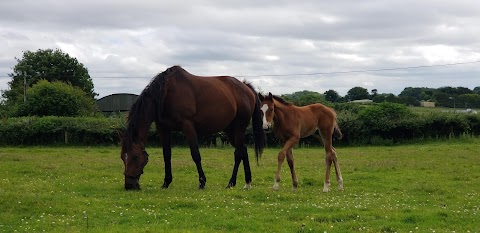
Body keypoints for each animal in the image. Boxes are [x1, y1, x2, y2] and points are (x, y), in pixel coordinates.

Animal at [120, 65, 266, 189]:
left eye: (135, 157)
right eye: (122, 157)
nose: (129, 185)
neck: (166, 93)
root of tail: (246, 88)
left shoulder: (188, 126)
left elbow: (195, 154)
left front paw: (202, 182)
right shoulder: (163, 128)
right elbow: (166, 155)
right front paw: (166, 182)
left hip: (239, 127)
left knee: (238, 153)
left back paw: (231, 182)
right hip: (230, 130)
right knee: (243, 151)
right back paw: (247, 183)